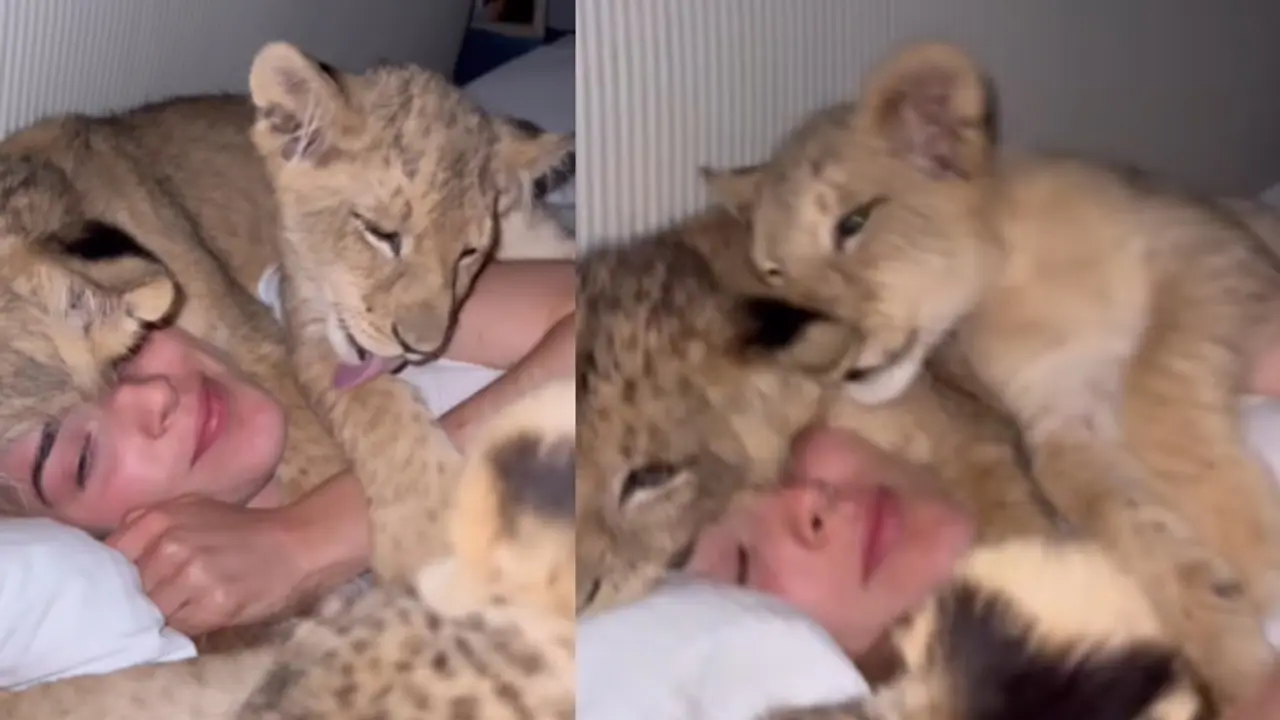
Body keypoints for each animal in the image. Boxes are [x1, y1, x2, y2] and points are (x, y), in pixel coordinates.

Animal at [702, 41, 1280, 705]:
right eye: (772, 273)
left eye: (853, 223)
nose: (821, 360)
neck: (1012, 289)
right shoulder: (1059, 415)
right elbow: (1120, 514)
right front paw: (1240, 661)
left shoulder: (1213, 248)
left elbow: (1155, 386)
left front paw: (1247, 533)